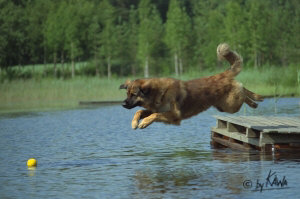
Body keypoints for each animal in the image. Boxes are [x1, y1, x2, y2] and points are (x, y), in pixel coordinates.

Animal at [119, 43, 262, 129]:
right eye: (127, 94)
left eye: (134, 94)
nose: (123, 104)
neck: (159, 93)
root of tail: (220, 75)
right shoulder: (157, 109)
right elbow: (139, 111)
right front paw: (134, 122)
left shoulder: (174, 115)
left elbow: (154, 115)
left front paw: (143, 122)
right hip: (223, 106)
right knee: (242, 89)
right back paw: (256, 100)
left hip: (231, 105)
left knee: (242, 91)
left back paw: (255, 100)